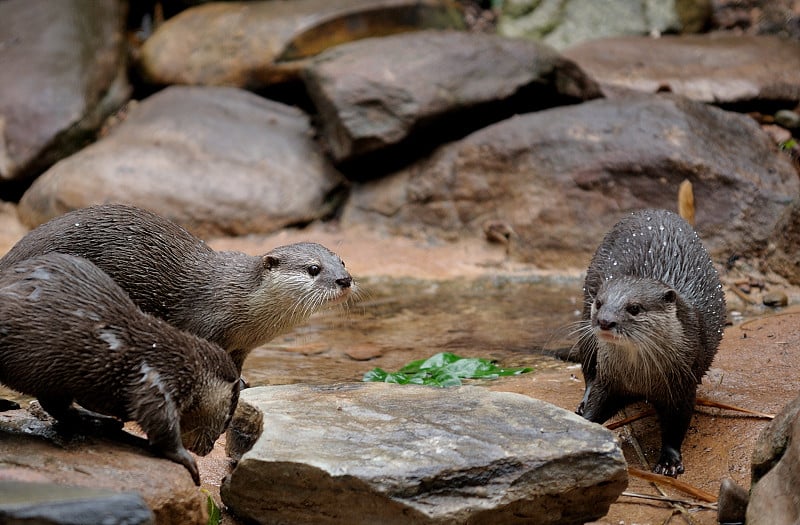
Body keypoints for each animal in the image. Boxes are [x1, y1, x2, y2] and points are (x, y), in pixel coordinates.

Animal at [0, 203, 356, 370]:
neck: (242, 302)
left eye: (342, 260)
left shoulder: (242, 347)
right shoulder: (206, 325)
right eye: (313, 269)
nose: (344, 280)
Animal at [0, 253, 241, 484]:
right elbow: (158, 417)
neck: (178, 360)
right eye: (226, 420)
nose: (208, 448)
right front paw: (185, 457)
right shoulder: (156, 377)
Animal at [576, 208, 724, 474]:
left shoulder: (682, 384)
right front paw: (584, 425)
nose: (604, 321)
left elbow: (677, 423)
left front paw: (669, 461)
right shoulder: (609, 380)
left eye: (634, 308)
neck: (640, 379)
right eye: (600, 303)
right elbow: (597, 402)